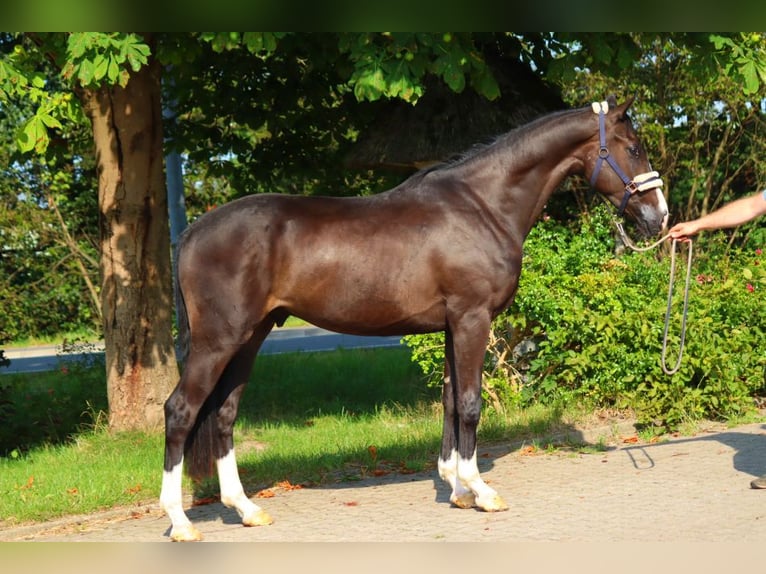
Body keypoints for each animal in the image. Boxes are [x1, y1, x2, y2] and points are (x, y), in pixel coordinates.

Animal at [159, 97, 668, 544]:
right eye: (633, 147)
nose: (659, 217)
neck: (483, 205)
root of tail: (192, 232)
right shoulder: (472, 319)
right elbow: (470, 403)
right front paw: (481, 491)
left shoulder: (451, 325)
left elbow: (449, 400)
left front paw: (457, 489)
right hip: (219, 341)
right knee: (181, 411)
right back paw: (181, 523)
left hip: (251, 336)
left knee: (224, 414)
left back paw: (246, 509)